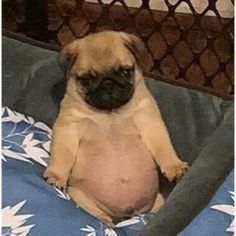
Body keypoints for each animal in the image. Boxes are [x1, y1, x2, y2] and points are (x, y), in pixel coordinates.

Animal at [43, 30, 189, 226]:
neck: (110, 113)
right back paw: (105, 222)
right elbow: (62, 154)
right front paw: (56, 174)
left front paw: (174, 166)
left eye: (126, 72)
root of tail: (129, 215)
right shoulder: (68, 128)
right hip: (80, 197)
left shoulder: (150, 122)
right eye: (87, 80)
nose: (108, 83)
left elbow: (163, 147)